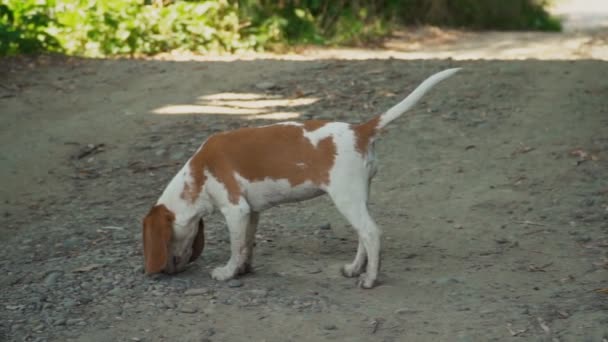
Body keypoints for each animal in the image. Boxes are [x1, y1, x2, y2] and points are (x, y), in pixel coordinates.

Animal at [144, 67, 460, 288]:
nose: (164, 271)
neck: (196, 175)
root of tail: (360, 130)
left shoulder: (236, 210)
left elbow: (236, 247)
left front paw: (227, 272)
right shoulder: (251, 213)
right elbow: (246, 244)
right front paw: (244, 269)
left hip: (345, 198)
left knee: (371, 233)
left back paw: (369, 279)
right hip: (358, 198)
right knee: (363, 235)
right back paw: (354, 269)